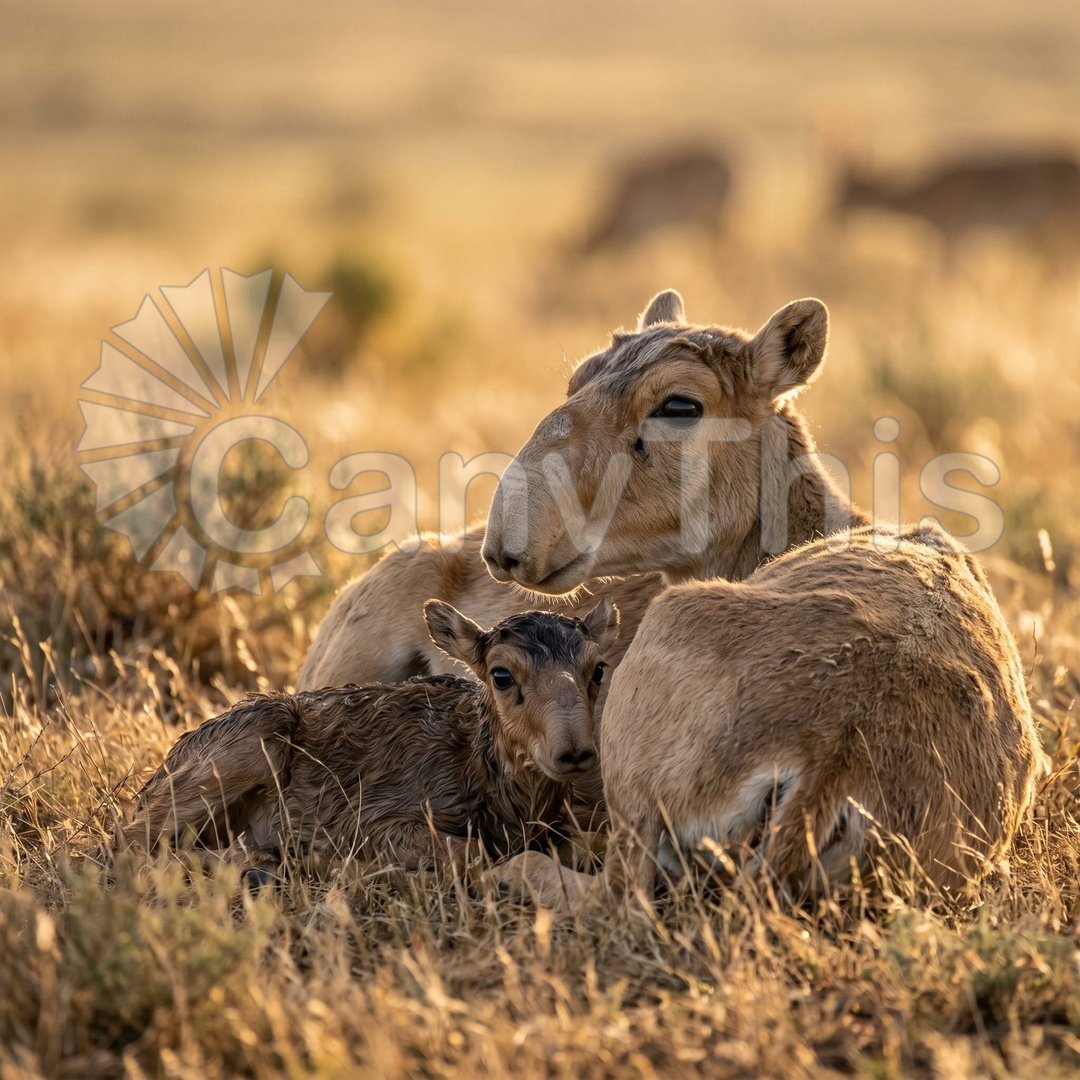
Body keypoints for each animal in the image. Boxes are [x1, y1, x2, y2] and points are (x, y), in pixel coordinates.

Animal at [118, 600, 619, 880]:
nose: (574, 750)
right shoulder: (372, 821)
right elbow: (472, 851)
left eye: (598, 668)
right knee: (132, 845)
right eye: (501, 675)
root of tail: (154, 776)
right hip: (258, 735)